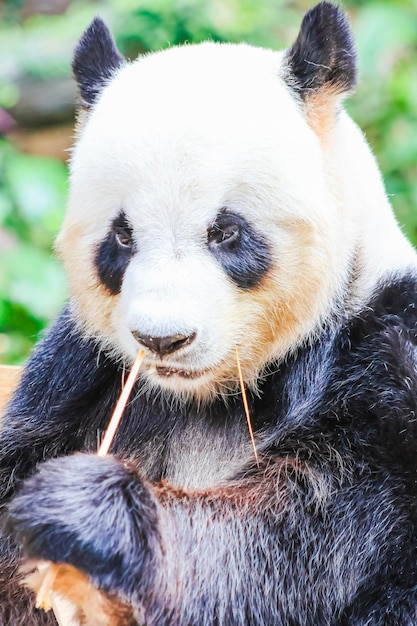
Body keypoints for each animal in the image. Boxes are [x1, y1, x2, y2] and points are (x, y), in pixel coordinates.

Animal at [0, 2, 416, 620]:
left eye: (225, 231)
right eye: (122, 236)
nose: (162, 339)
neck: (207, 397)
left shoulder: (383, 358)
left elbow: (291, 541)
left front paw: (82, 512)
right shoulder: (71, 375)